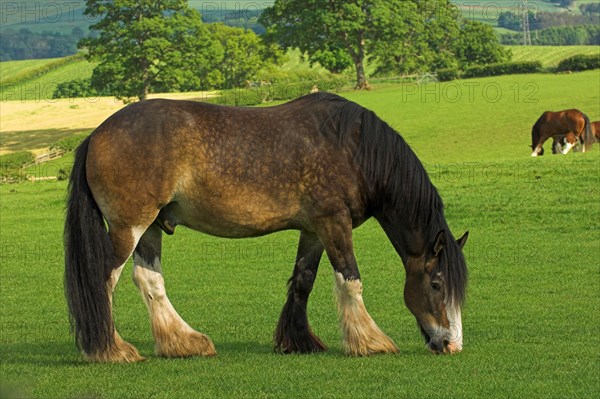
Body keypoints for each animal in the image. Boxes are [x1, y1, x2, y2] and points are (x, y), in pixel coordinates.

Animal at [64, 93, 468, 362]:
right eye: (437, 284)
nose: (452, 344)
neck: (353, 147)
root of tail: (96, 135)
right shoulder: (334, 222)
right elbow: (350, 280)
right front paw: (370, 342)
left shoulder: (314, 229)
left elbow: (303, 280)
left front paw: (299, 341)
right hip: (129, 226)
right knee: (104, 280)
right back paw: (111, 349)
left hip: (149, 227)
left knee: (148, 280)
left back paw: (184, 342)